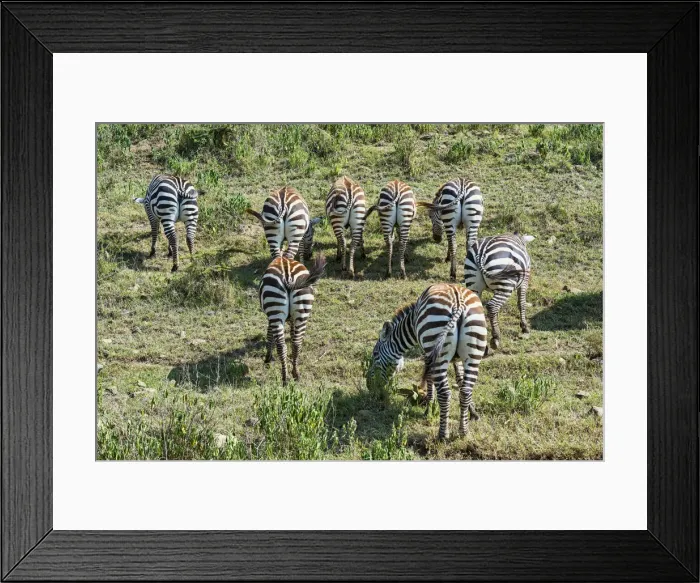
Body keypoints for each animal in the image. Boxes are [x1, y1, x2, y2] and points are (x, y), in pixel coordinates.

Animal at [259, 254, 327, 386]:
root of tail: (288, 277)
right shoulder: (291, 319)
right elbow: (292, 334)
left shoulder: (270, 318)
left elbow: (269, 335)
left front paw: (268, 359)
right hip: (302, 310)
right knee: (296, 343)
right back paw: (295, 374)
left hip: (275, 311)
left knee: (281, 346)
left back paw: (285, 378)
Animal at [366, 283, 487, 440]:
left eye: (375, 354)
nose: (369, 386)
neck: (412, 322)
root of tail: (458, 302)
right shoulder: (457, 358)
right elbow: (460, 380)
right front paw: (472, 412)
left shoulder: (426, 351)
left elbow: (429, 379)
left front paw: (428, 408)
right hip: (473, 352)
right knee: (466, 390)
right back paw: (463, 431)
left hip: (436, 344)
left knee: (444, 393)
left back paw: (443, 434)